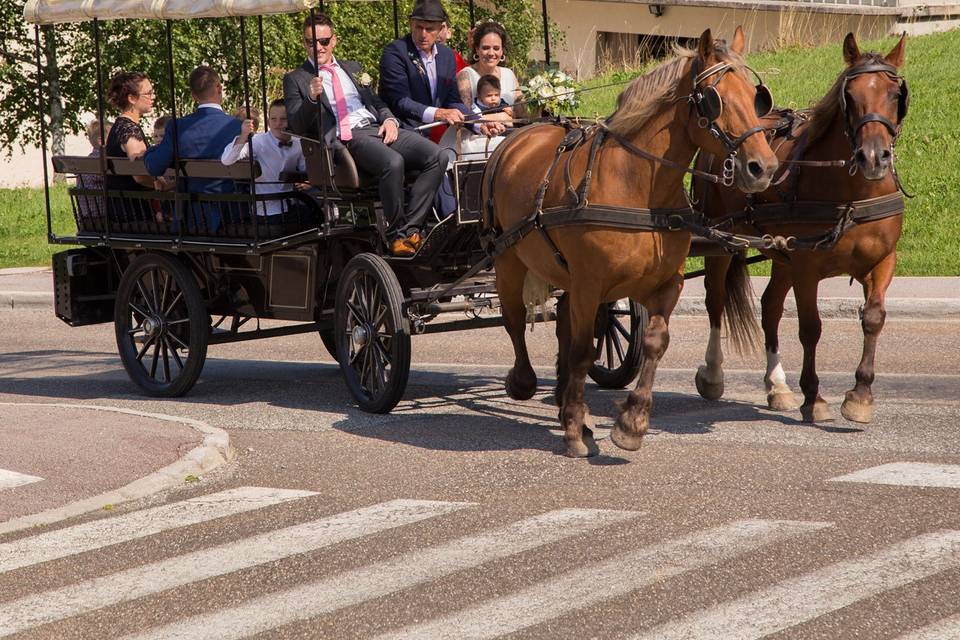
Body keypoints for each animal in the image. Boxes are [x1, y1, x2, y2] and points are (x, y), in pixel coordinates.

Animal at [480, 28, 780, 456]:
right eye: (715, 98)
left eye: (757, 97)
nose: (764, 167)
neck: (640, 188)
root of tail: (520, 136)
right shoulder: (590, 284)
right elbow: (582, 351)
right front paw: (576, 429)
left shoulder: (664, 284)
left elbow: (653, 342)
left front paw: (631, 422)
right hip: (508, 258)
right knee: (515, 318)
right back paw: (524, 382)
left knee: (562, 323)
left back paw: (562, 396)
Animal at [688, 35, 908, 424]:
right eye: (850, 95)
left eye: (896, 94)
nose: (873, 157)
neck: (853, 195)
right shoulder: (807, 266)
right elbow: (810, 328)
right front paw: (814, 397)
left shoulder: (883, 261)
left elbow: (873, 318)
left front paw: (860, 395)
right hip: (720, 239)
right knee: (715, 301)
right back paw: (713, 374)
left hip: (780, 252)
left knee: (770, 306)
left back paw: (778, 386)